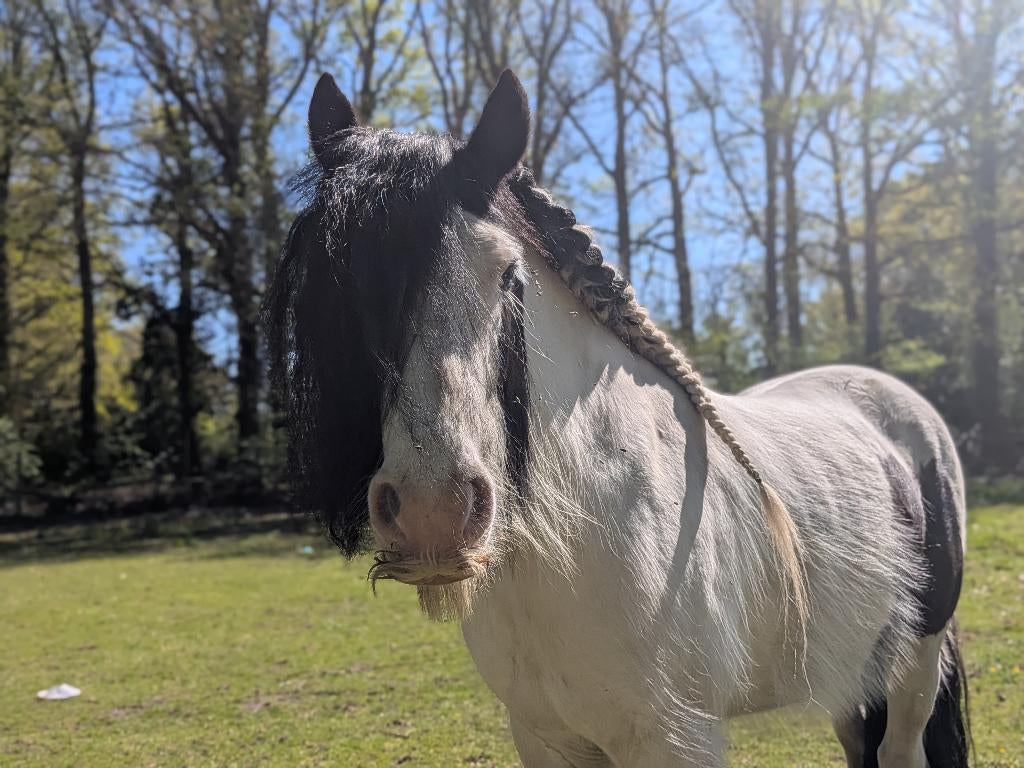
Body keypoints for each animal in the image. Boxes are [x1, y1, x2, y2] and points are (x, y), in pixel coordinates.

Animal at [264, 69, 970, 768]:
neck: (593, 518)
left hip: (914, 665)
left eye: (508, 276)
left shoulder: (676, 740)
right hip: (852, 672)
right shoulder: (544, 736)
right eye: (338, 288)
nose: (434, 512)